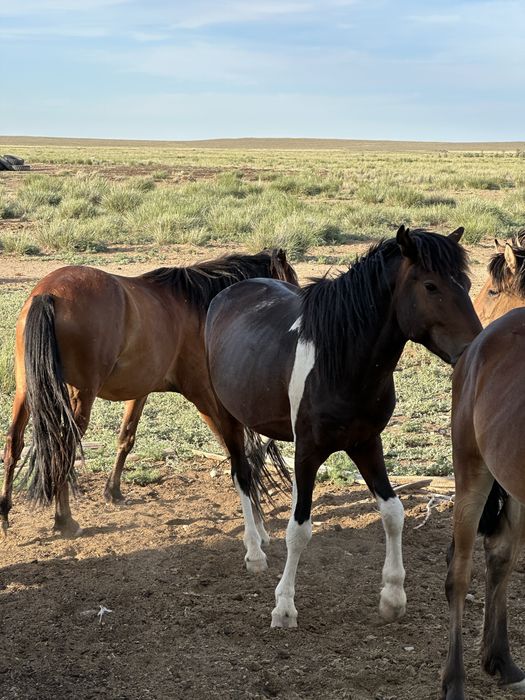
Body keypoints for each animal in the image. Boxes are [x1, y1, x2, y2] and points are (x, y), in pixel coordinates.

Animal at [0, 249, 298, 538]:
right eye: (293, 284)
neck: (201, 306)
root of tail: (48, 293)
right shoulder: (202, 394)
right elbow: (231, 446)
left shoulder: (141, 391)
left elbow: (126, 437)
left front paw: (113, 491)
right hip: (80, 398)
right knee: (63, 447)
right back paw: (64, 520)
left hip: (26, 391)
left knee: (15, 442)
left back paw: (5, 514)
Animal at [205, 225, 482, 627]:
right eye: (431, 286)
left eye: (465, 283)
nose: (474, 348)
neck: (340, 362)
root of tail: (228, 293)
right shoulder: (307, 452)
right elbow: (299, 530)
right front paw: (284, 607)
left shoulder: (366, 443)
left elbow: (393, 513)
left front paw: (393, 596)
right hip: (225, 417)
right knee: (242, 474)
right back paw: (254, 552)